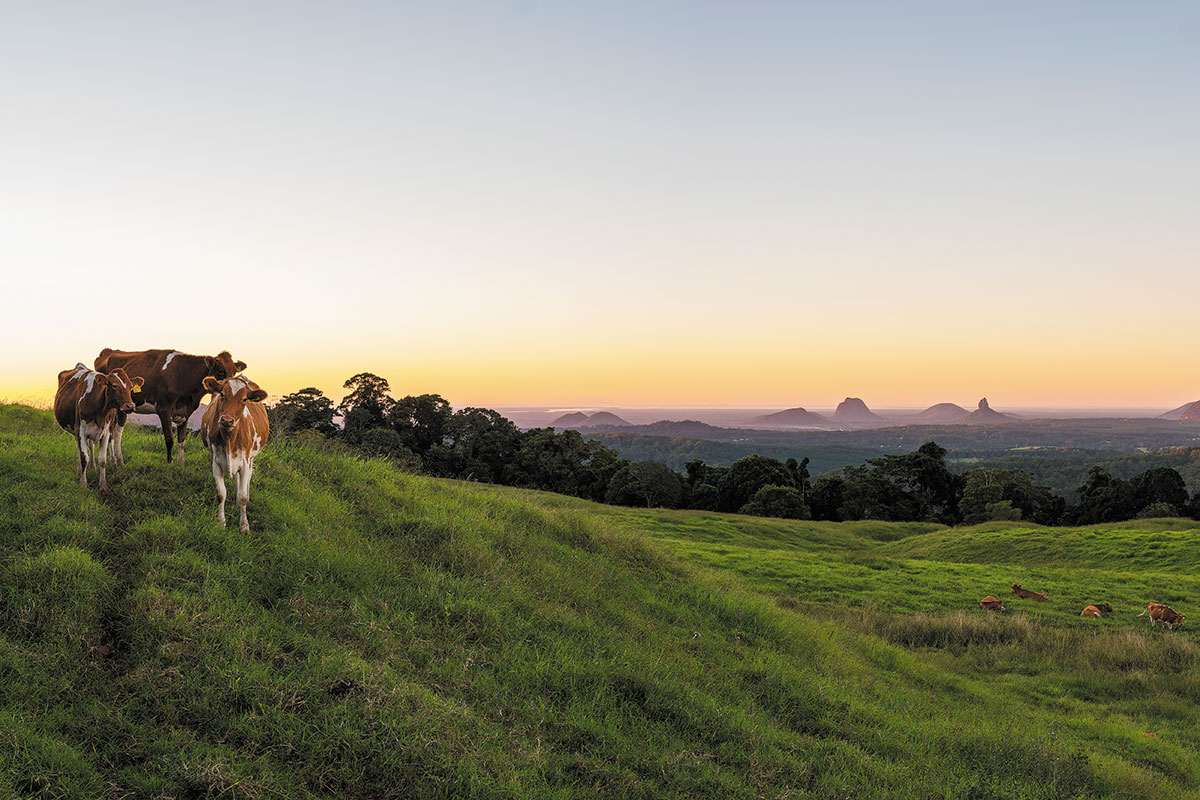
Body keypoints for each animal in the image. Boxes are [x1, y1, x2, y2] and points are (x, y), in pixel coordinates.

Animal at [199, 379, 270, 534]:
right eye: (221, 394)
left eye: (244, 399)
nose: (227, 420)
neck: (229, 439)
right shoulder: (215, 462)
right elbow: (221, 494)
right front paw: (221, 522)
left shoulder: (246, 462)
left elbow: (242, 496)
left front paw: (244, 526)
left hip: (251, 458)